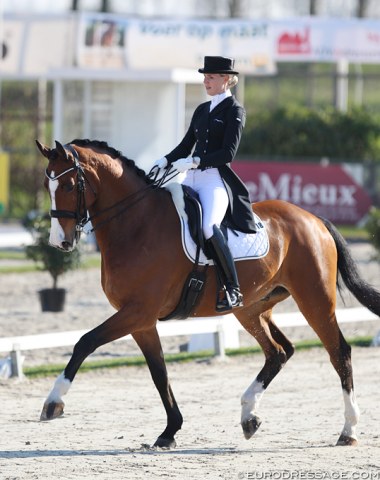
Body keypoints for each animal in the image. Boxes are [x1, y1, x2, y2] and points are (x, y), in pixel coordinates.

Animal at [35, 139, 378, 450]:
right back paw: (249, 417)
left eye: (69, 184)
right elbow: (159, 374)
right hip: (251, 308)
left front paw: (53, 403)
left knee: (339, 353)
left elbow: (85, 342)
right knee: (279, 352)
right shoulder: (142, 322)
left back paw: (348, 430)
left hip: (315, 300)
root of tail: (314, 219)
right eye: (46, 185)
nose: (60, 242)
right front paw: (169, 432)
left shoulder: (137, 312)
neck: (137, 224)